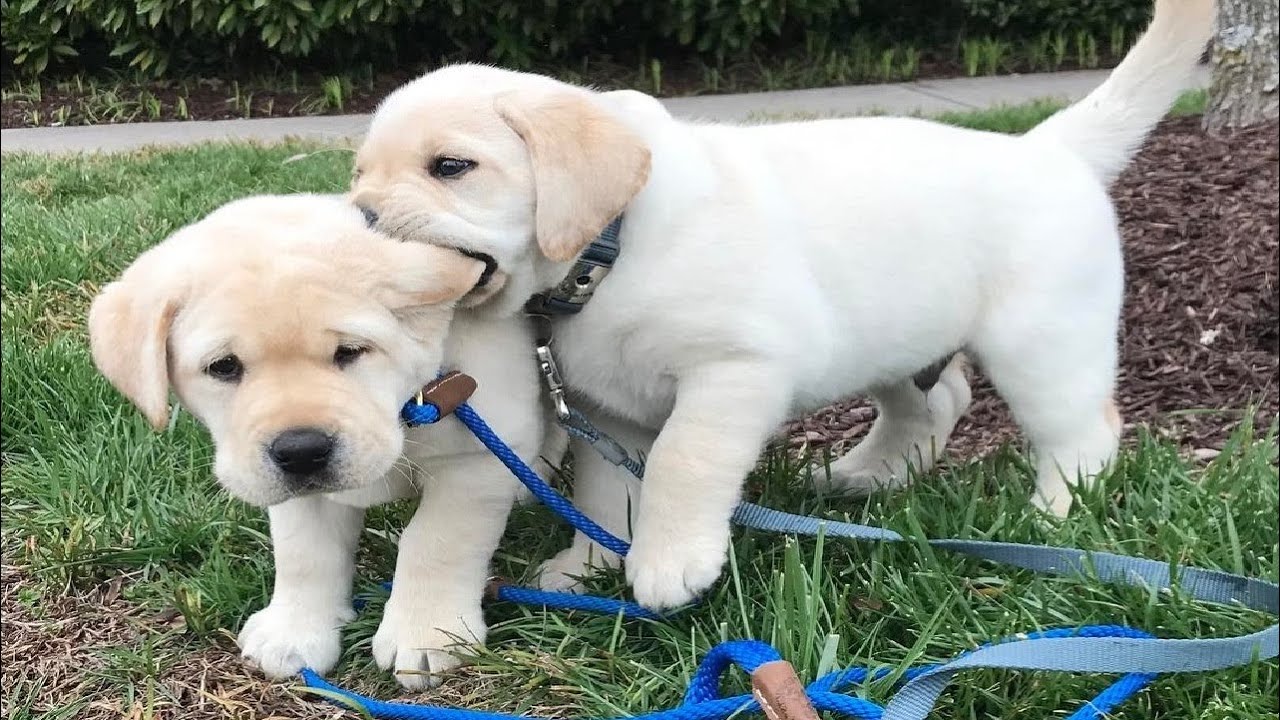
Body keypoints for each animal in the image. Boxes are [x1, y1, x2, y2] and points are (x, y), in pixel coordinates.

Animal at [85, 193, 555, 686]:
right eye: (224, 366)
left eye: (350, 352)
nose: (301, 451)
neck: (406, 409)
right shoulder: (296, 493)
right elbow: (304, 554)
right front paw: (295, 631)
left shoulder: (478, 459)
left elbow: (436, 544)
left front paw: (428, 632)